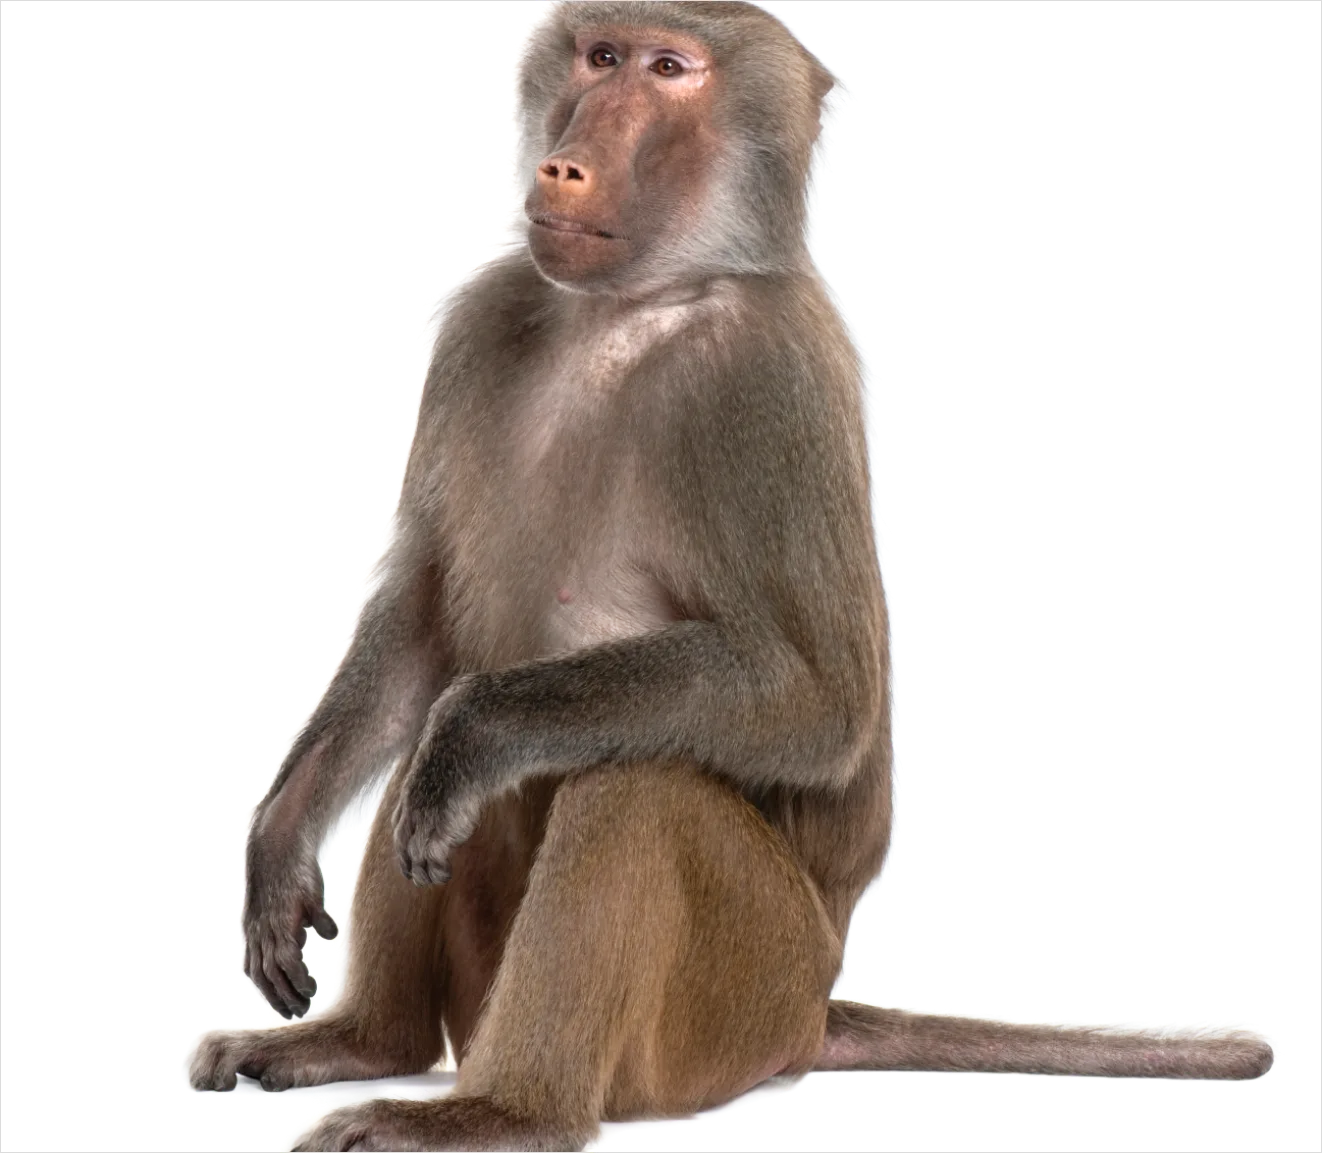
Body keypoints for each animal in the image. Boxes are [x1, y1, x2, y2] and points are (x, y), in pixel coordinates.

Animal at [187, 4, 1275, 1150]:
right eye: (601, 58)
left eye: (671, 70)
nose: (567, 165)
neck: (633, 307)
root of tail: (810, 1005)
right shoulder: (483, 323)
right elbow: (426, 627)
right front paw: (281, 838)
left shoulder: (760, 381)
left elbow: (819, 700)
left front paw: (481, 728)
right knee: (432, 761)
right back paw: (366, 1045)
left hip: (734, 998)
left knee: (634, 786)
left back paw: (502, 1108)